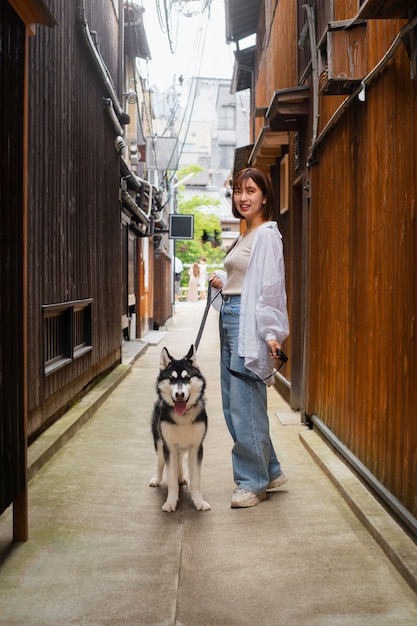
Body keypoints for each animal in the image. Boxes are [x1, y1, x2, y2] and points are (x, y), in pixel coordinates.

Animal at [148, 344, 210, 510]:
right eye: (171, 379)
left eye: (187, 378)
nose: (180, 394)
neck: (183, 417)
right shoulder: (169, 447)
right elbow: (170, 478)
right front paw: (170, 502)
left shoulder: (196, 448)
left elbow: (195, 480)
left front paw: (199, 501)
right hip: (159, 442)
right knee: (160, 460)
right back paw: (157, 478)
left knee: (180, 457)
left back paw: (181, 476)